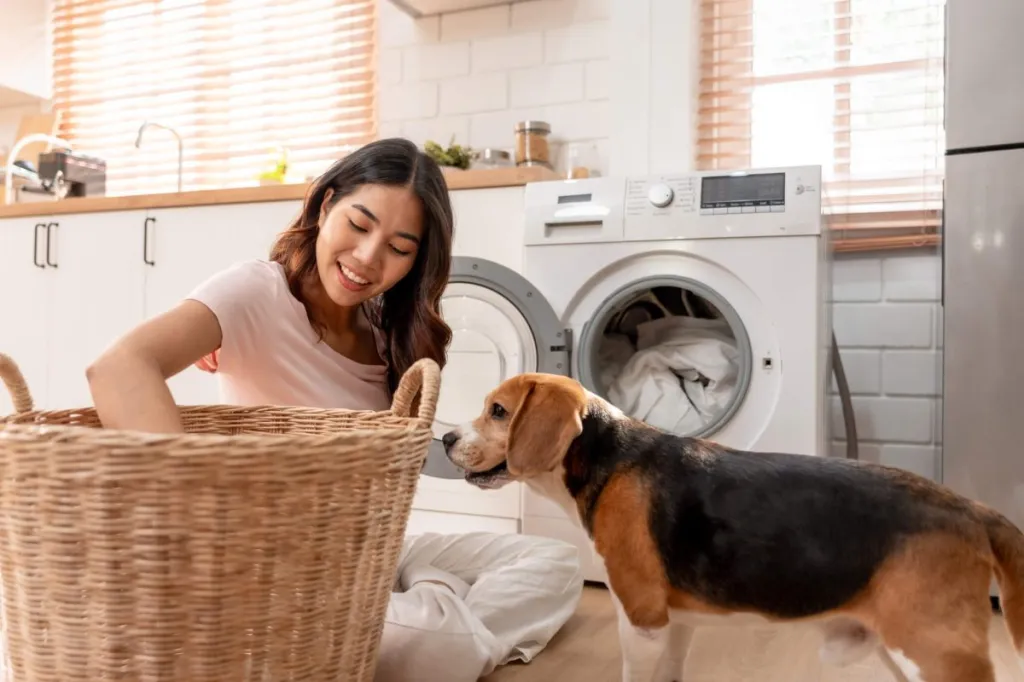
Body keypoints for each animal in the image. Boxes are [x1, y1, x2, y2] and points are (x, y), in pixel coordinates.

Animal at [444, 372, 1024, 679]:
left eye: (498, 411)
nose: (446, 439)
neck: (607, 459)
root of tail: (970, 508)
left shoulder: (642, 620)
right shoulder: (675, 625)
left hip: (934, 651)